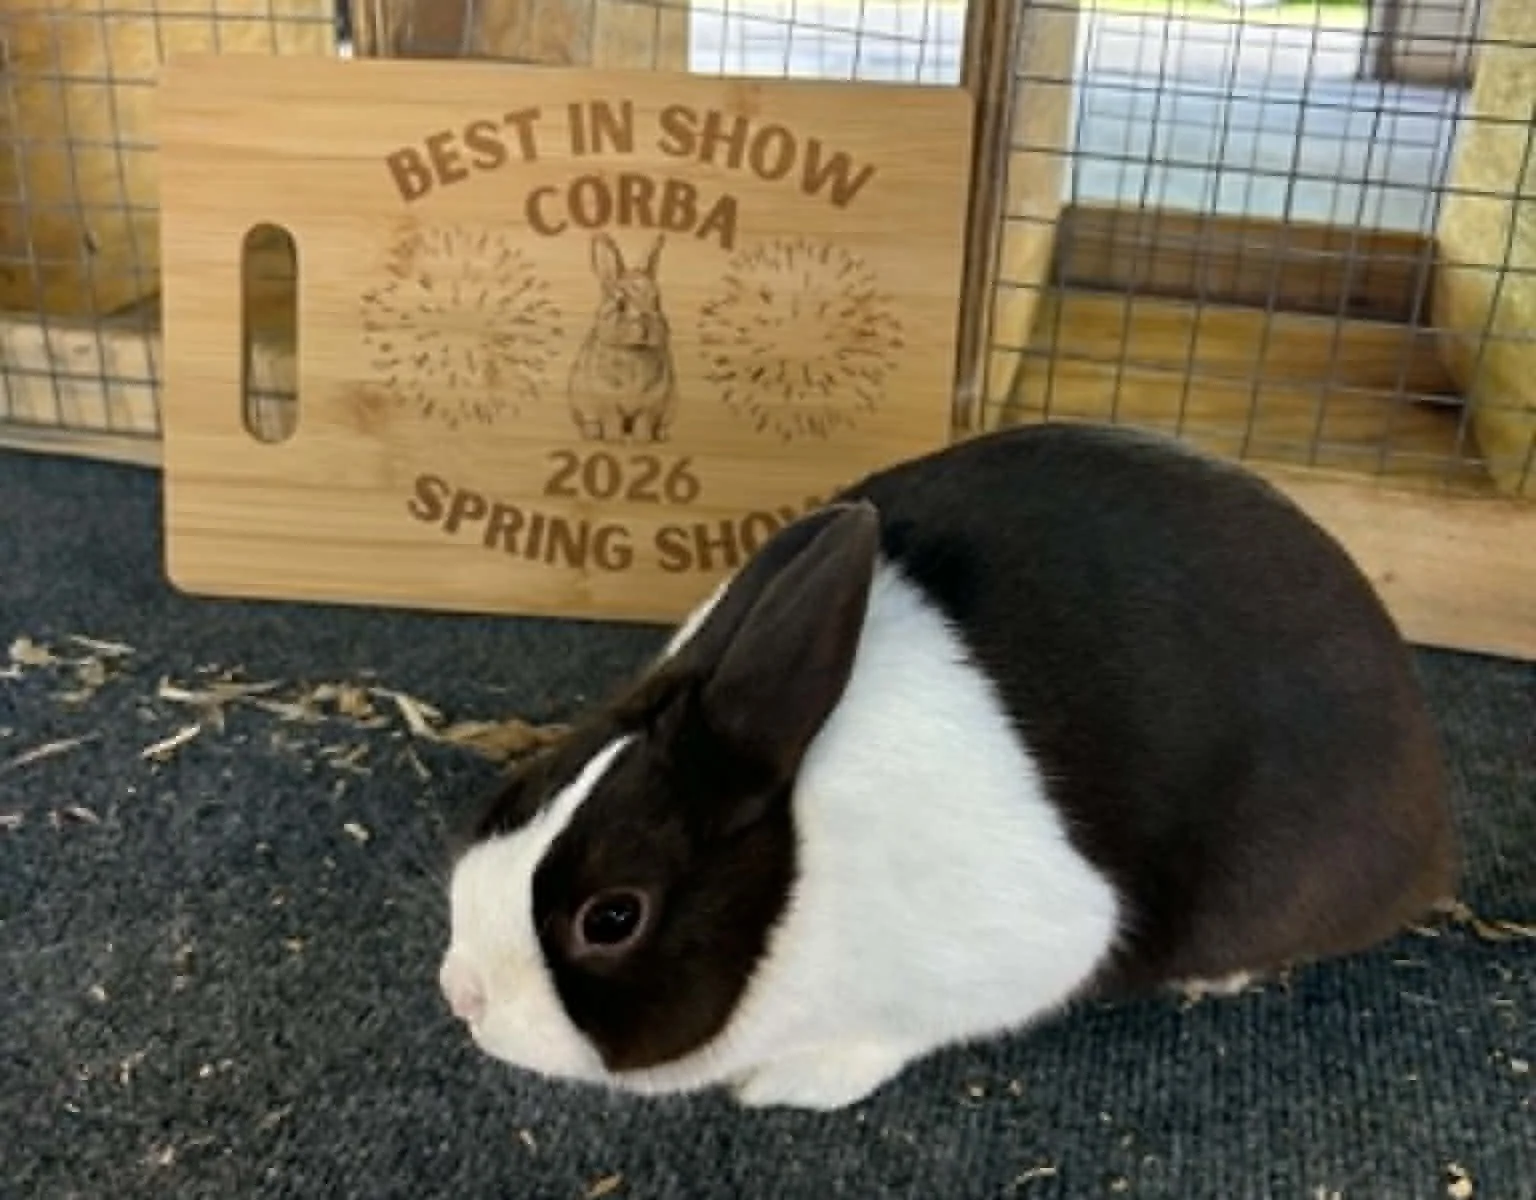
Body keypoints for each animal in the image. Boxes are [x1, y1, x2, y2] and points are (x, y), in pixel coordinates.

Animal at [438, 421, 1460, 1112]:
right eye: (517, 789)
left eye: (612, 918)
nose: (463, 996)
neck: (804, 867)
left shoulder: (1028, 941)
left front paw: (793, 1084)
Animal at [567, 232, 678, 443]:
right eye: (620, 305)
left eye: (657, 302)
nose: (647, 328)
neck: (634, 350)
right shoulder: (606, 401)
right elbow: (611, 421)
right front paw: (614, 440)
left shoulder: (650, 404)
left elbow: (643, 422)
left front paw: (642, 441)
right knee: (590, 421)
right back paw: (592, 434)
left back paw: (662, 435)